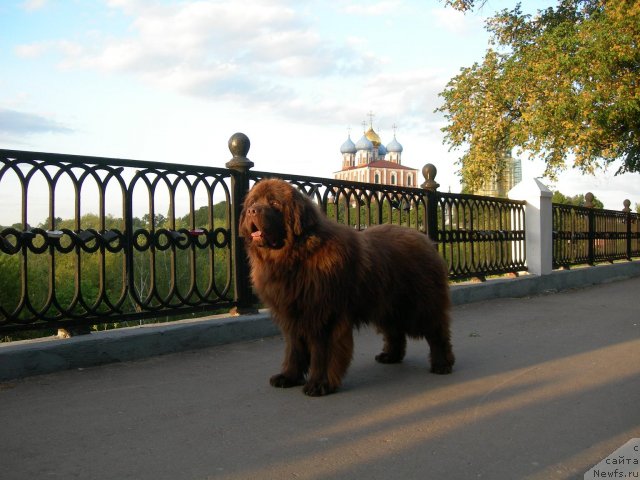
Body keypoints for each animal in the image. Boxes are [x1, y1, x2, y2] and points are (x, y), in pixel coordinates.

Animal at [240, 178, 456, 396]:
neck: (298, 256)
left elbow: (323, 353)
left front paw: (319, 384)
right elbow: (295, 349)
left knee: (437, 331)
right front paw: (288, 377)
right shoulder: (292, 314)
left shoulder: (325, 316)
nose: (252, 211)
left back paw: (442, 364)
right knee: (395, 331)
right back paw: (390, 356)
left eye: (274, 203)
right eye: (253, 201)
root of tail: (425, 239)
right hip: (386, 305)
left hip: (419, 304)